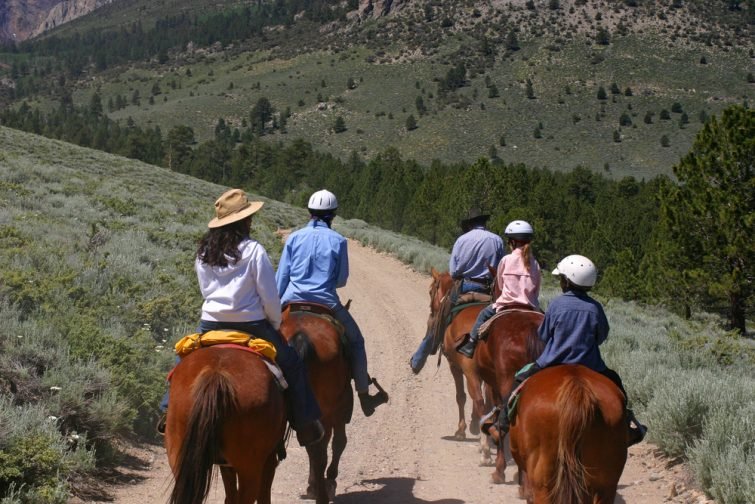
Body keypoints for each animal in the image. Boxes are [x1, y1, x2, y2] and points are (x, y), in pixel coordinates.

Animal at [165, 346, 286, 504]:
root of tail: (216, 373)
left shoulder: (226, 465)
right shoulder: (269, 460)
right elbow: (263, 495)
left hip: (179, 459)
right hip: (250, 469)